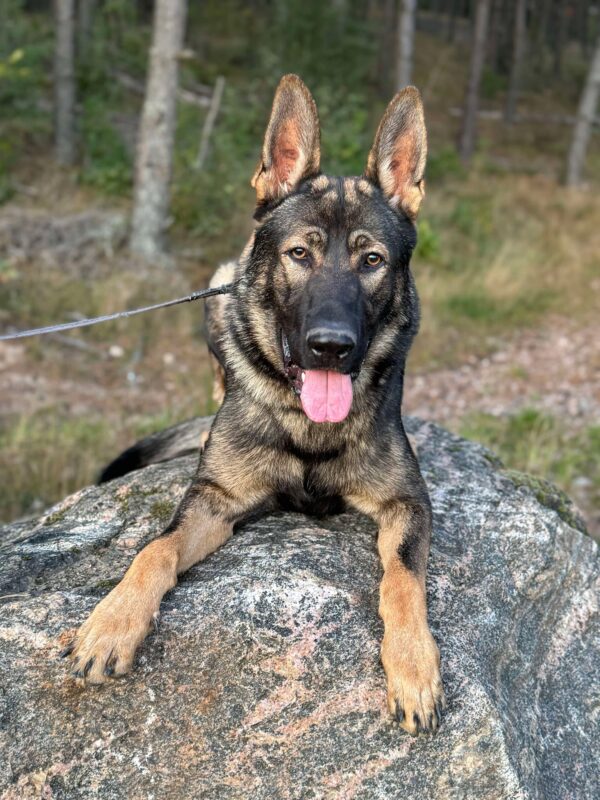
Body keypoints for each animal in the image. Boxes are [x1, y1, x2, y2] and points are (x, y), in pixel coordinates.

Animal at [62, 75, 445, 736]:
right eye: (299, 254)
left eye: (372, 260)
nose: (331, 346)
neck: (307, 426)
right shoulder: (215, 500)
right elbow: (155, 549)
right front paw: (113, 621)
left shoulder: (407, 503)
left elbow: (402, 581)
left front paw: (414, 664)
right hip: (219, 290)